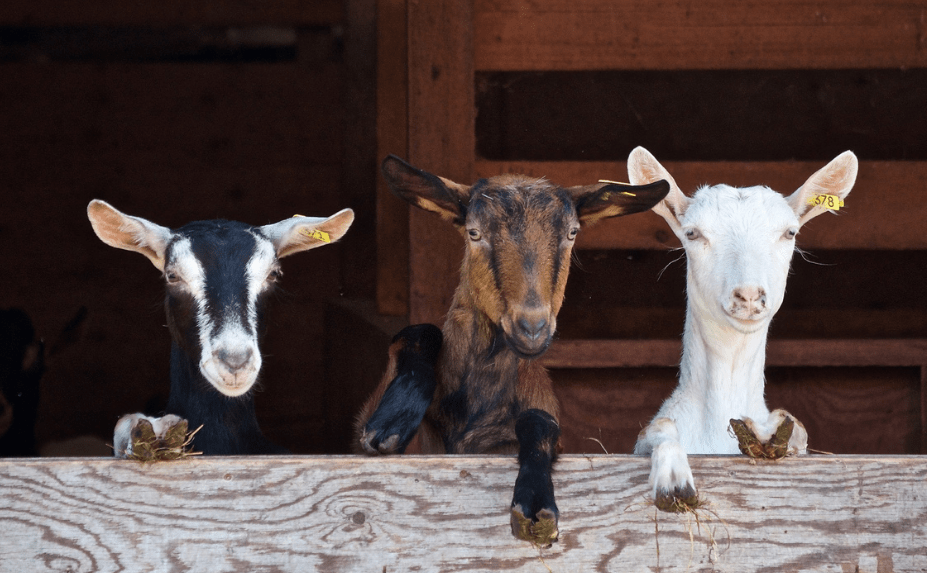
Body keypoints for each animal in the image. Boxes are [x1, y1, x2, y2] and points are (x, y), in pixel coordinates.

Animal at [356, 154, 668, 544]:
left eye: (572, 233)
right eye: (474, 232)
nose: (531, 328)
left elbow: (541, 422)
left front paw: (535, 504)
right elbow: (418, 332)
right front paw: (392, 421)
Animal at [628, 145, 860, 508]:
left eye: (790, 232)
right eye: (692, 233)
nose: (749, 295)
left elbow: (798, 430)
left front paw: (769, 431)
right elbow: (660, 427)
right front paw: (673, 480)